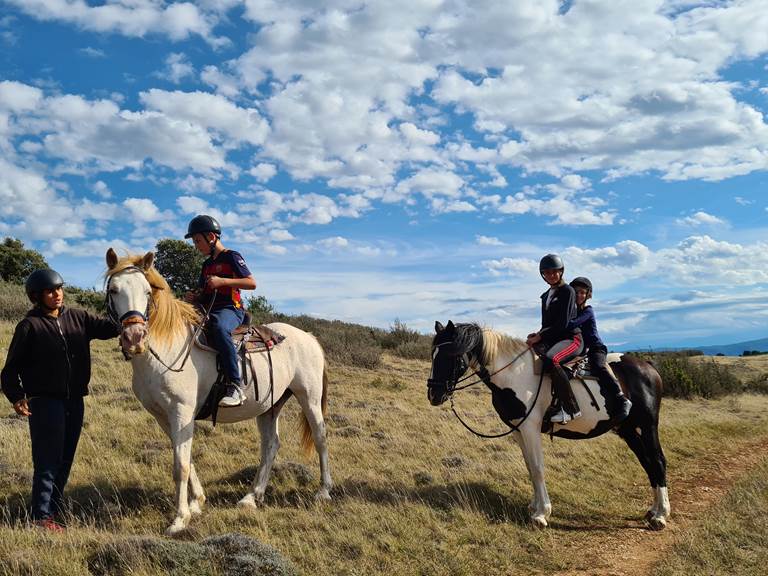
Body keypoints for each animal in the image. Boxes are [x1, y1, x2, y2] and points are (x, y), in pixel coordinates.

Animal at [103, 248, 332, 536]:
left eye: (147, 291)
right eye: (113, 290)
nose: (134, 337)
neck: (168, 347)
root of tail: (308, 337)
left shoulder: (181, 412)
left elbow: (180, 466)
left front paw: (180, 519)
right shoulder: (163, 416)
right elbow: (185, 458)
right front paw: (197, 502)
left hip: (309, 397)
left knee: (320, 437)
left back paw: (323, 491)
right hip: (270, 406)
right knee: (271, 445)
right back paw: (252, 496)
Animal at [428, 322, 668, 528]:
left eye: (450, 356)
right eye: (433, 355)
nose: (433, 395)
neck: (514, 374)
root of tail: (648, 367)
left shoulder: (530, 427)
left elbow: (537, 467)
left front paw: (542, 514)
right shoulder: (518, 429)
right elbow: (529, 466)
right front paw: (534, 507)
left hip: (647, 426)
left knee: (657, 460)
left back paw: (661, 515)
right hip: (628, 430)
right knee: (647, 462)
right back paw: (653, 510)